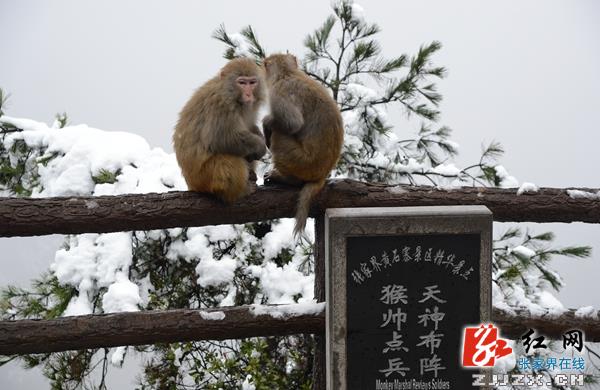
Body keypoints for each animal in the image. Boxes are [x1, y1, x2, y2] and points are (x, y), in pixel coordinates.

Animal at [173, 58, 268, 204]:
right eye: (242, 83)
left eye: (252, 83)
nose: (248, 94)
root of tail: (190, 183)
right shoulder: (221, 104)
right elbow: (220, 139)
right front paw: (260, 146)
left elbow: (250, 126)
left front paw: (259, 135)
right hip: (204, 177)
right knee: (229, 160)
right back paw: (239, 192)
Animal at [262, 53, 342, 236]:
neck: (288, 72)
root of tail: (321, 176)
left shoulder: (280, 92)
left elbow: (293, 123)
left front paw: (265, 123)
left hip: (300, 162)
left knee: (279, 135)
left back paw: (287, 179)